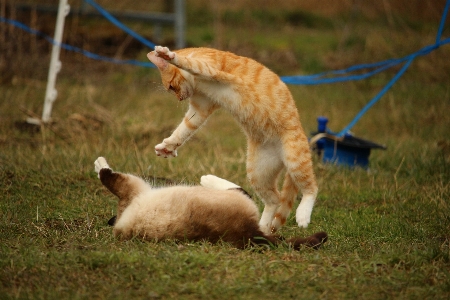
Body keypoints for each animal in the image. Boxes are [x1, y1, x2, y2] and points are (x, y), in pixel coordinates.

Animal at [95, 156, 326, 250]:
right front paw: (98, 164)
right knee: (242, 191)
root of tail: (249, 233)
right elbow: (107, 175)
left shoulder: (131, 191)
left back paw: (206, 178)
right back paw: (206, 179)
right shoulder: (131, 190)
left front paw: (97, 164)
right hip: (237, 203)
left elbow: (107, 176)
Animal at [147, 46, 316, 234]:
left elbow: (188, 62)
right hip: (258, 172)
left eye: (171, 86)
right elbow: (183, 129)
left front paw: (168, 55)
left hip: (295, 160)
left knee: (311, 188)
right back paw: (262, 228)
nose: (179, 99)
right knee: (275, 199)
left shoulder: (208, 68)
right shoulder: (201, 107)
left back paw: (303, 214)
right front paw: (168, 146)